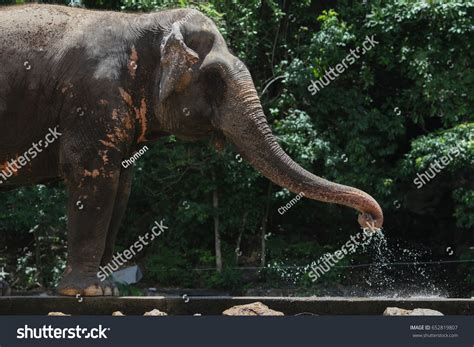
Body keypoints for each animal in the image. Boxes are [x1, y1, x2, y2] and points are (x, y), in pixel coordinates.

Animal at [0, 4, 384, 296]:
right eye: (215, 78)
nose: (369, 222)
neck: (144, 21)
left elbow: (121, 187)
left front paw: (107, 288)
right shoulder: (93, 97)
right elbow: (92, 176)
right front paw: (89, 291)